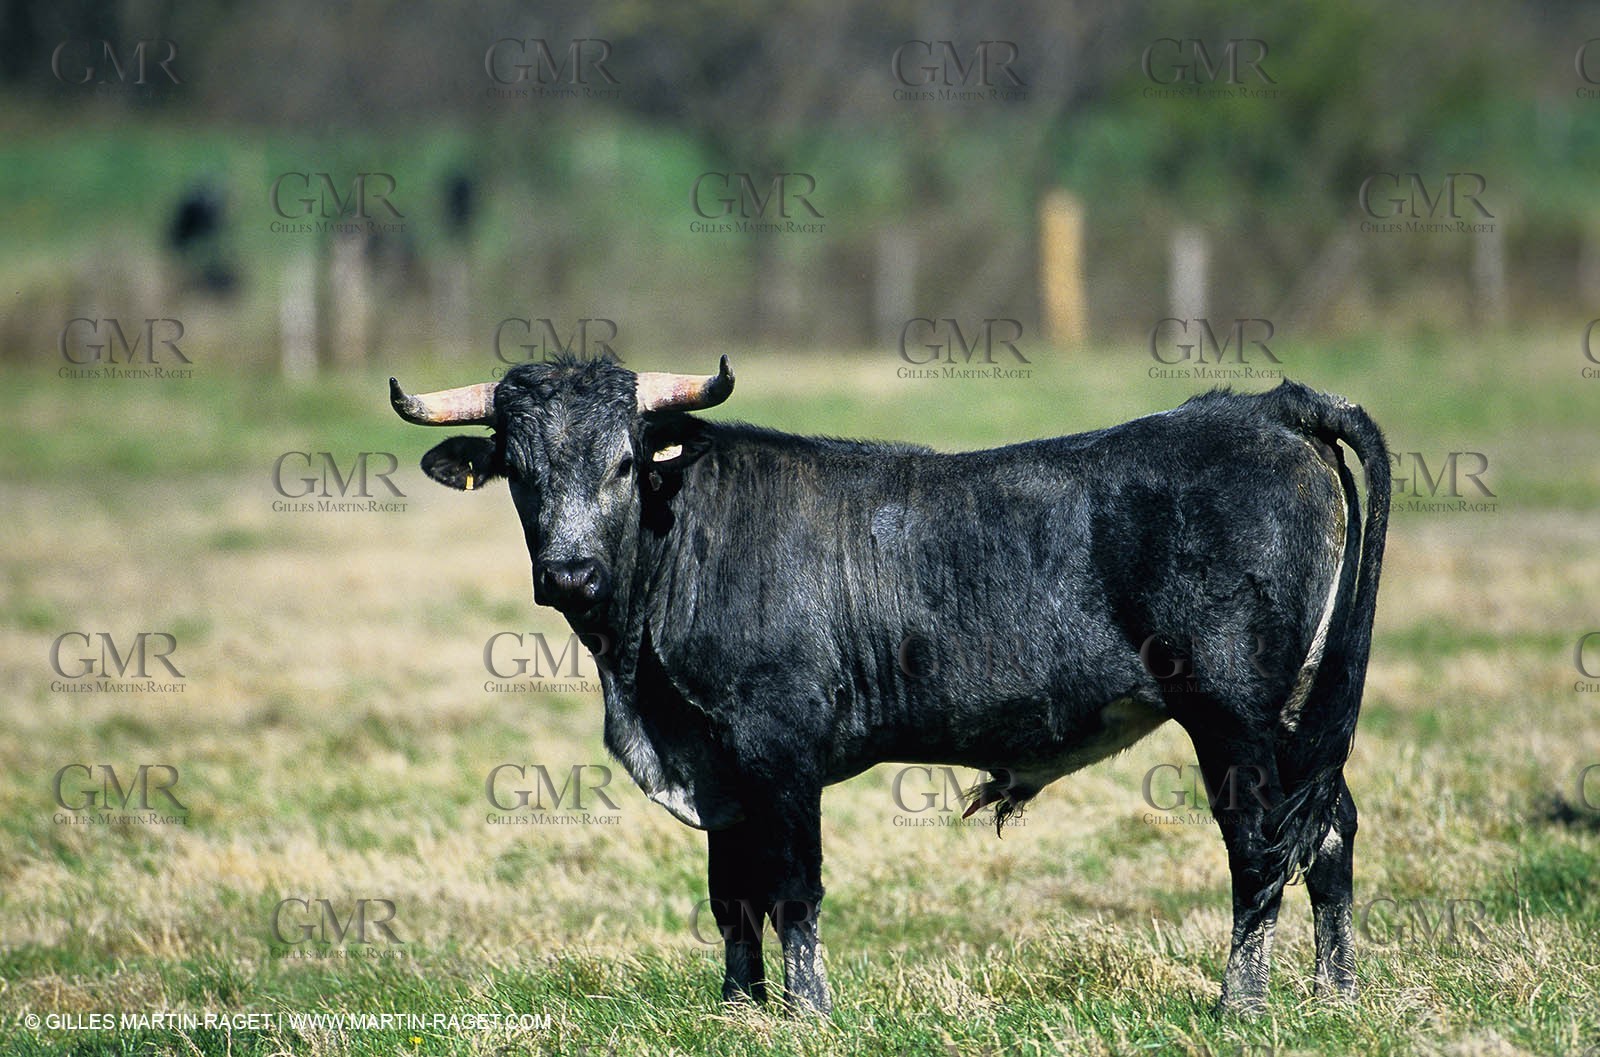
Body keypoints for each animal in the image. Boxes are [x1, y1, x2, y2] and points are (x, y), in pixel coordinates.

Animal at [389, 356, 1389, 1017]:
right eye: (519, 470)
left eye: (626, 462)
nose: (569, 573)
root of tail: (1274, 407)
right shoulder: (719, 770)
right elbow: (731, 894)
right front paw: (738, 1009)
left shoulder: (779, 749)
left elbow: (792, 889)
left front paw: (807, 1011)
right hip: (1297, 712)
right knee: (1329, 830)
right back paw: (1334, 995)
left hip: (1234, 713)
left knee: (1260, 847)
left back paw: (1240, 1004)